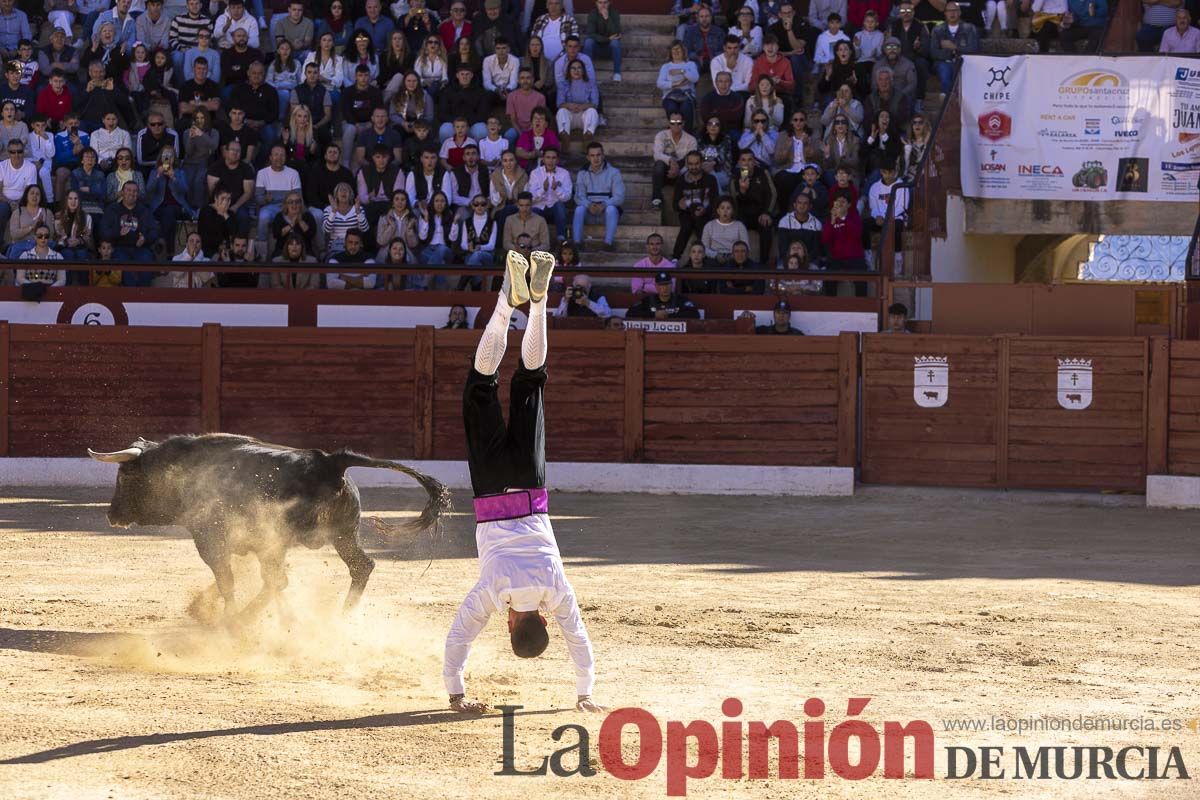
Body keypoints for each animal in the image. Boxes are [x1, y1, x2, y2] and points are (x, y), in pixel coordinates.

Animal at [90, 434, 453, 618]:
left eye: (123, 476)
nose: (111, 515)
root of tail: (329, 461)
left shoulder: (209, 538)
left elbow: (226, 579)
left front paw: (227, 618)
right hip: (340, 536)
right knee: (359, 566)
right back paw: (337, 617)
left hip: (279, 539)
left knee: (278, 579)